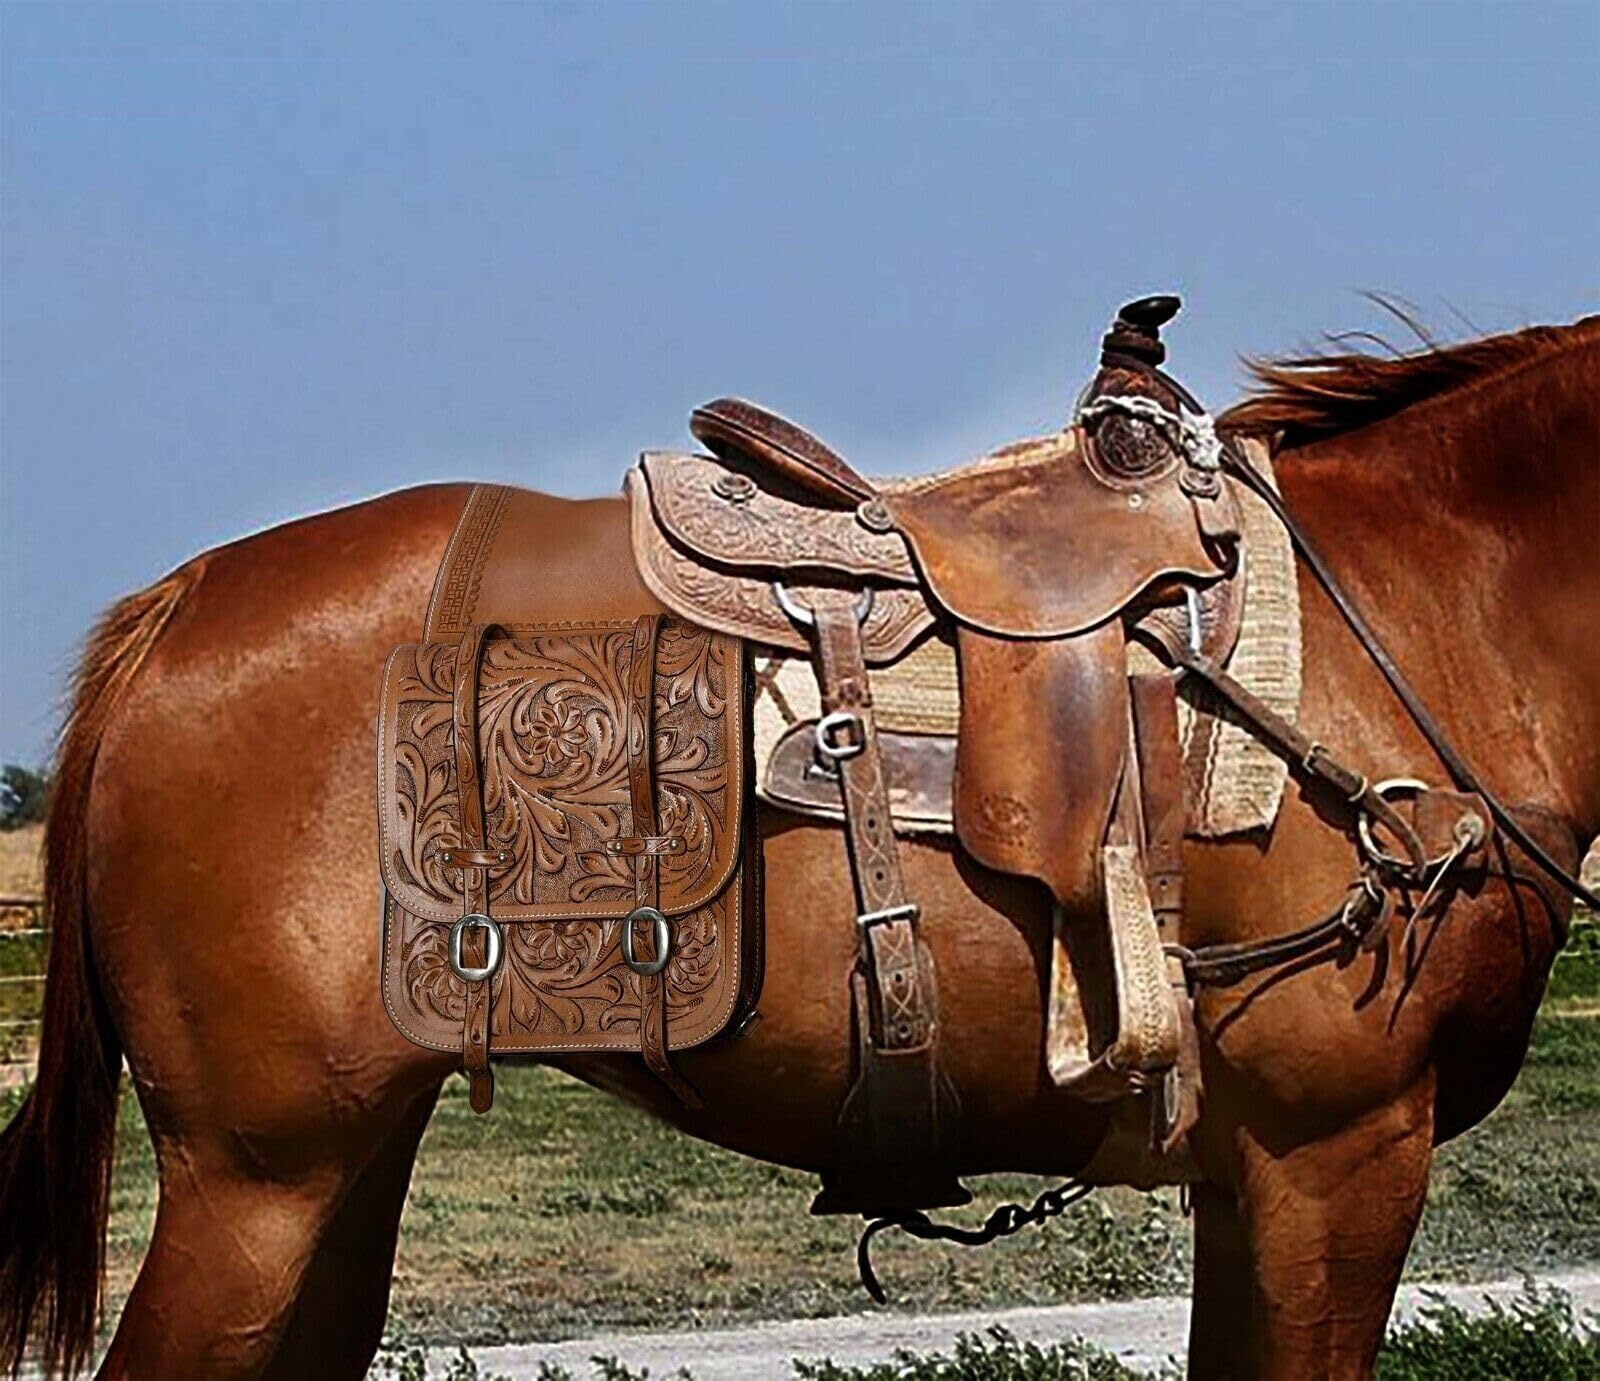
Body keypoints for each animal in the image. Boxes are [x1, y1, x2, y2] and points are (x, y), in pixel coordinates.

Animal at [1, 313, 1595, 1380]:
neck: (1427, 614)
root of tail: (174, 609)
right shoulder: (1334, 1153)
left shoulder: (1264, 1174)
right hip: (257, 1175)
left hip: (335, 1163)